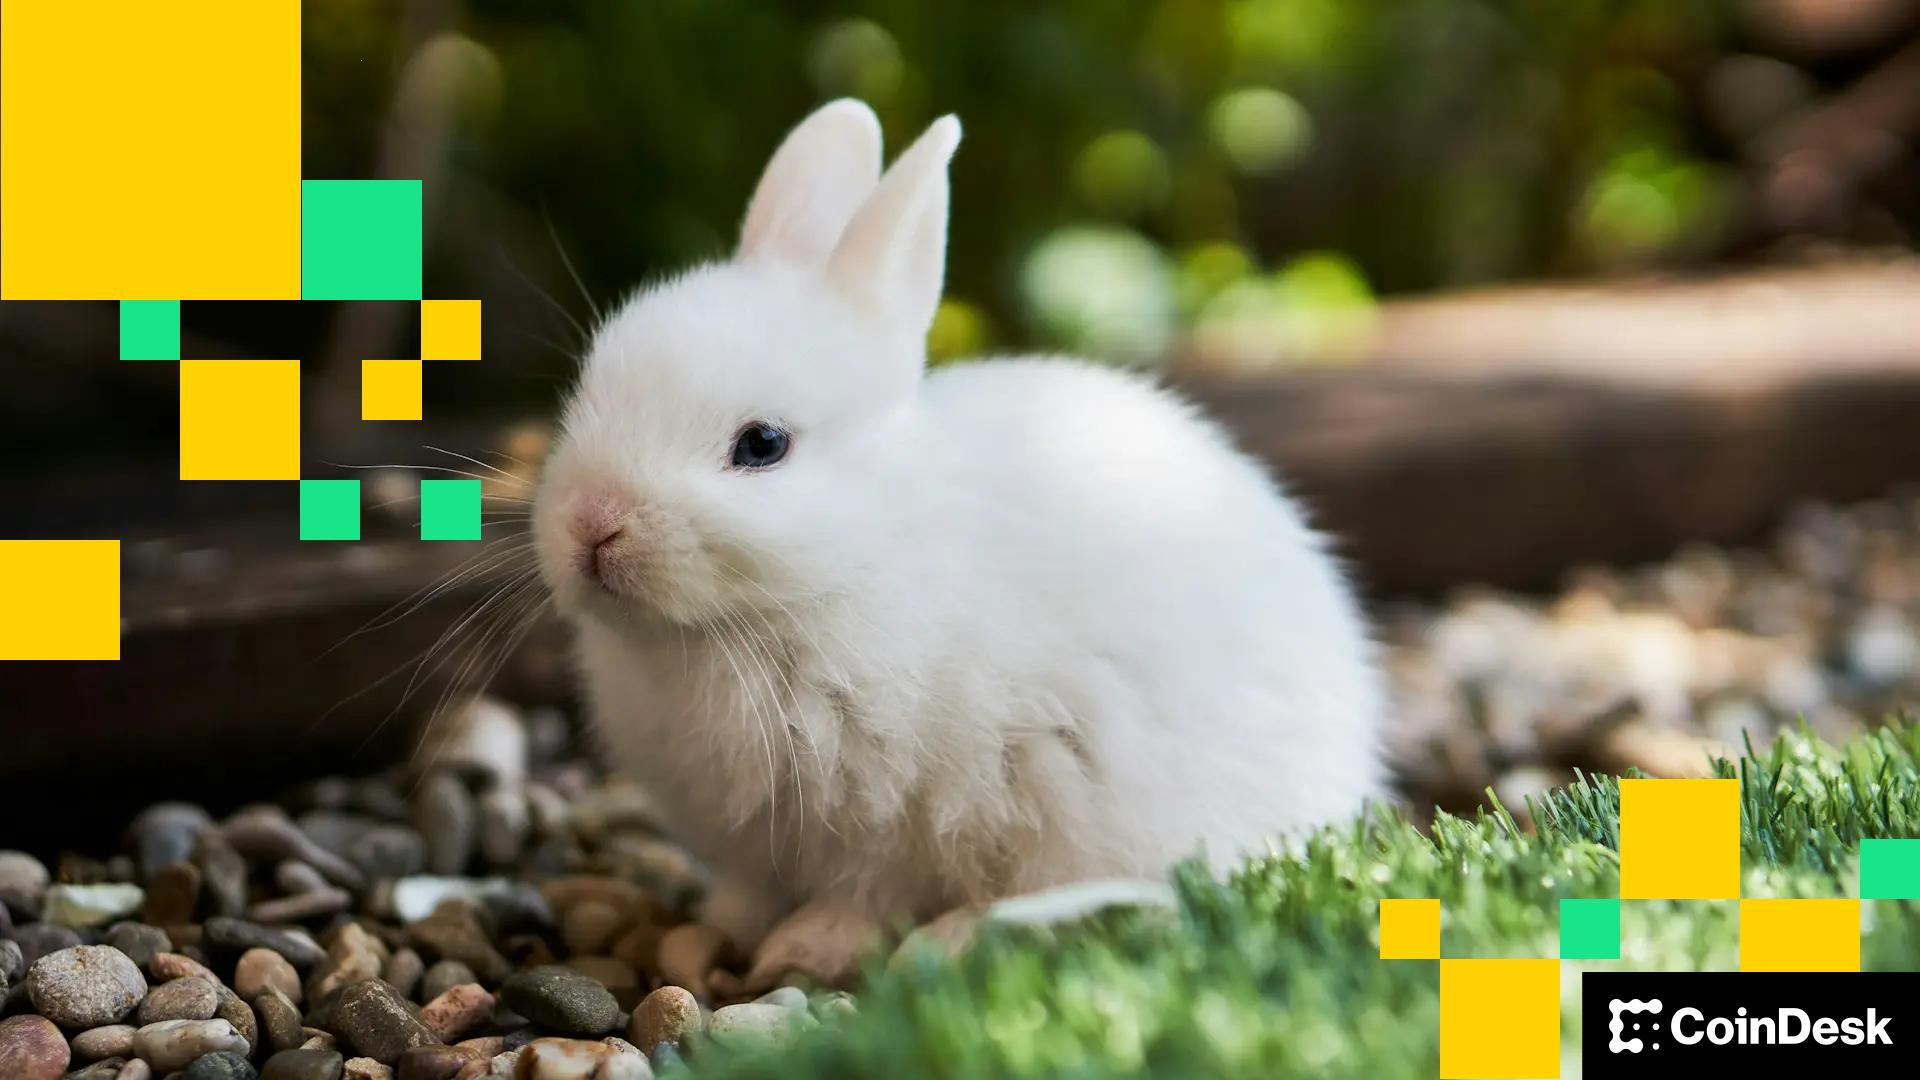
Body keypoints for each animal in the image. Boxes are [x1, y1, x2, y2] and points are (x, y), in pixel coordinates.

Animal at [533, 99, 1386, 989]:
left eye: (763, 444)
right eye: (589, 390)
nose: (593, 524)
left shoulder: (894, 821)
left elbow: (863, 896)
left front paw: (803, 951)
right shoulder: (751, 850)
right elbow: (745, 893)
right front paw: (713, 933)